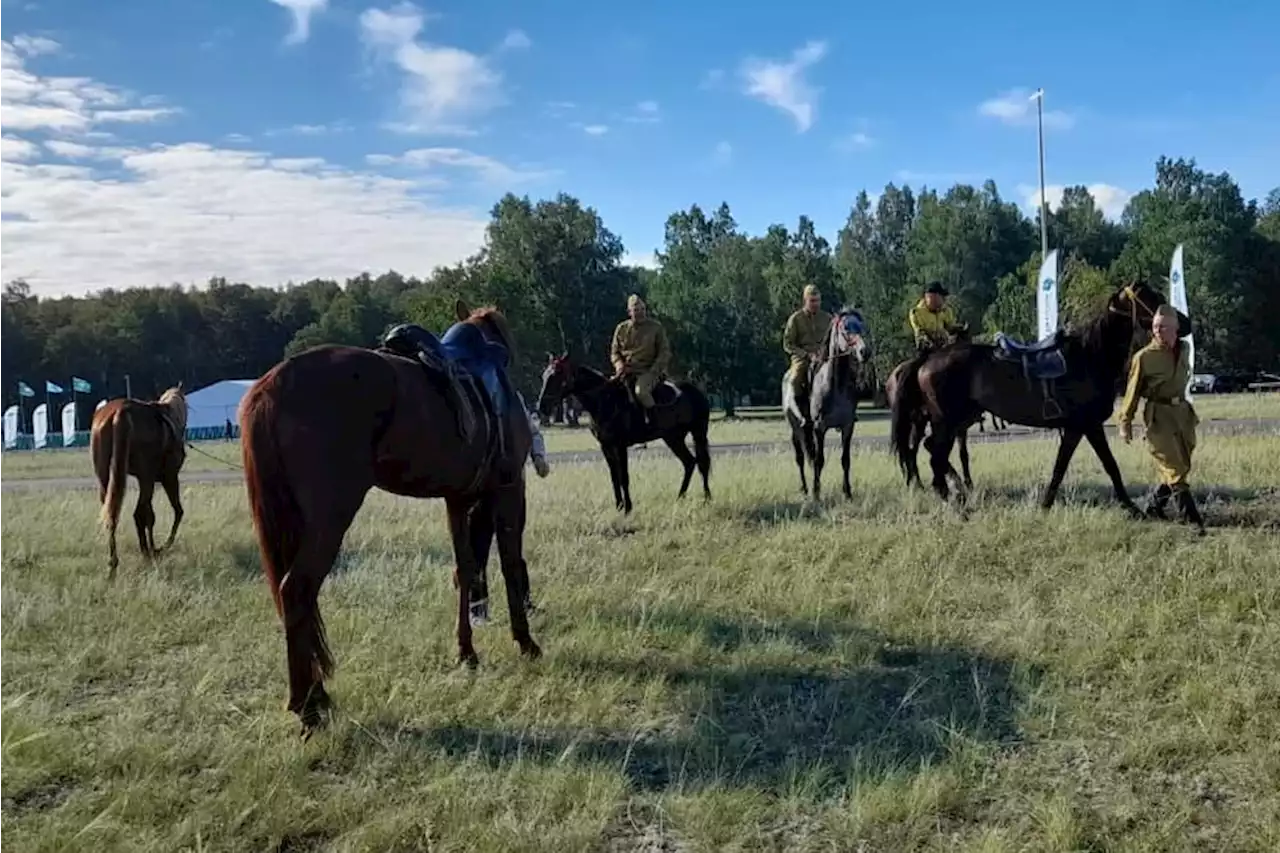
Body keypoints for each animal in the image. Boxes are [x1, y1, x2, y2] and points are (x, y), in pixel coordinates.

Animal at [92, 384, 188, 578]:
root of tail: (120, 411)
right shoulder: (168, 477)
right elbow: (176, 512)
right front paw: (159, 547)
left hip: (106, 477)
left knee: (111, 514)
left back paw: (114, 562)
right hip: (148, 478)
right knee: (139, 514)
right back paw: (147, 552)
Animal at [239, 297, 540, 732]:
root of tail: (271, 386)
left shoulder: (456, 500)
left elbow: (465, 570)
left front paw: (466, 651)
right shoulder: (509, 488)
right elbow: (511, 564)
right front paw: (526, 641)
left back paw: (316, 696)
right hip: (331, 517)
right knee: (296, 590)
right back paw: (307, 707)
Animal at [529, 353, 711, 512]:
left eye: (557, 375)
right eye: (544, 376)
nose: (541, 407)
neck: (605, 401)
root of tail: (696, 392)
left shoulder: (620, 446)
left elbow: (624, 476)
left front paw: (628, 507)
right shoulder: (606, 446)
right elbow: (614, 477)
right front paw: (619, 505)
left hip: (698, 433)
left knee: (702, 464)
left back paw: (706, 497)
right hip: (673, 438)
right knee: (689, 462)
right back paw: (680, 497)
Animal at [778, 306, 870, 499]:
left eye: (861, 326)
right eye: (845, 328)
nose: (865, 352)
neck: (835, 385)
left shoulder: (847, 426)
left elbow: (845, 459)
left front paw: (847, 492)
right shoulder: (819, 427)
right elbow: (819, 460)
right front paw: (816, 492)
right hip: (795, 428)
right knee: (800, 458)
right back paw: (805, 489)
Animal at [885, 277, 1182, 512]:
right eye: (1154, 298)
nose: (1183, 323)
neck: (1090, 356)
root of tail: (927, 359)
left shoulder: (1076, 428)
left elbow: (1063, 467)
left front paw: (1046, 504)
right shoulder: (1087, 425)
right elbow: (1108, 466)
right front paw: (1132, 507)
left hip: (948, 422)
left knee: (930, 453)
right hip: (945, 422)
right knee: (932, 455)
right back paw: (956, 504)